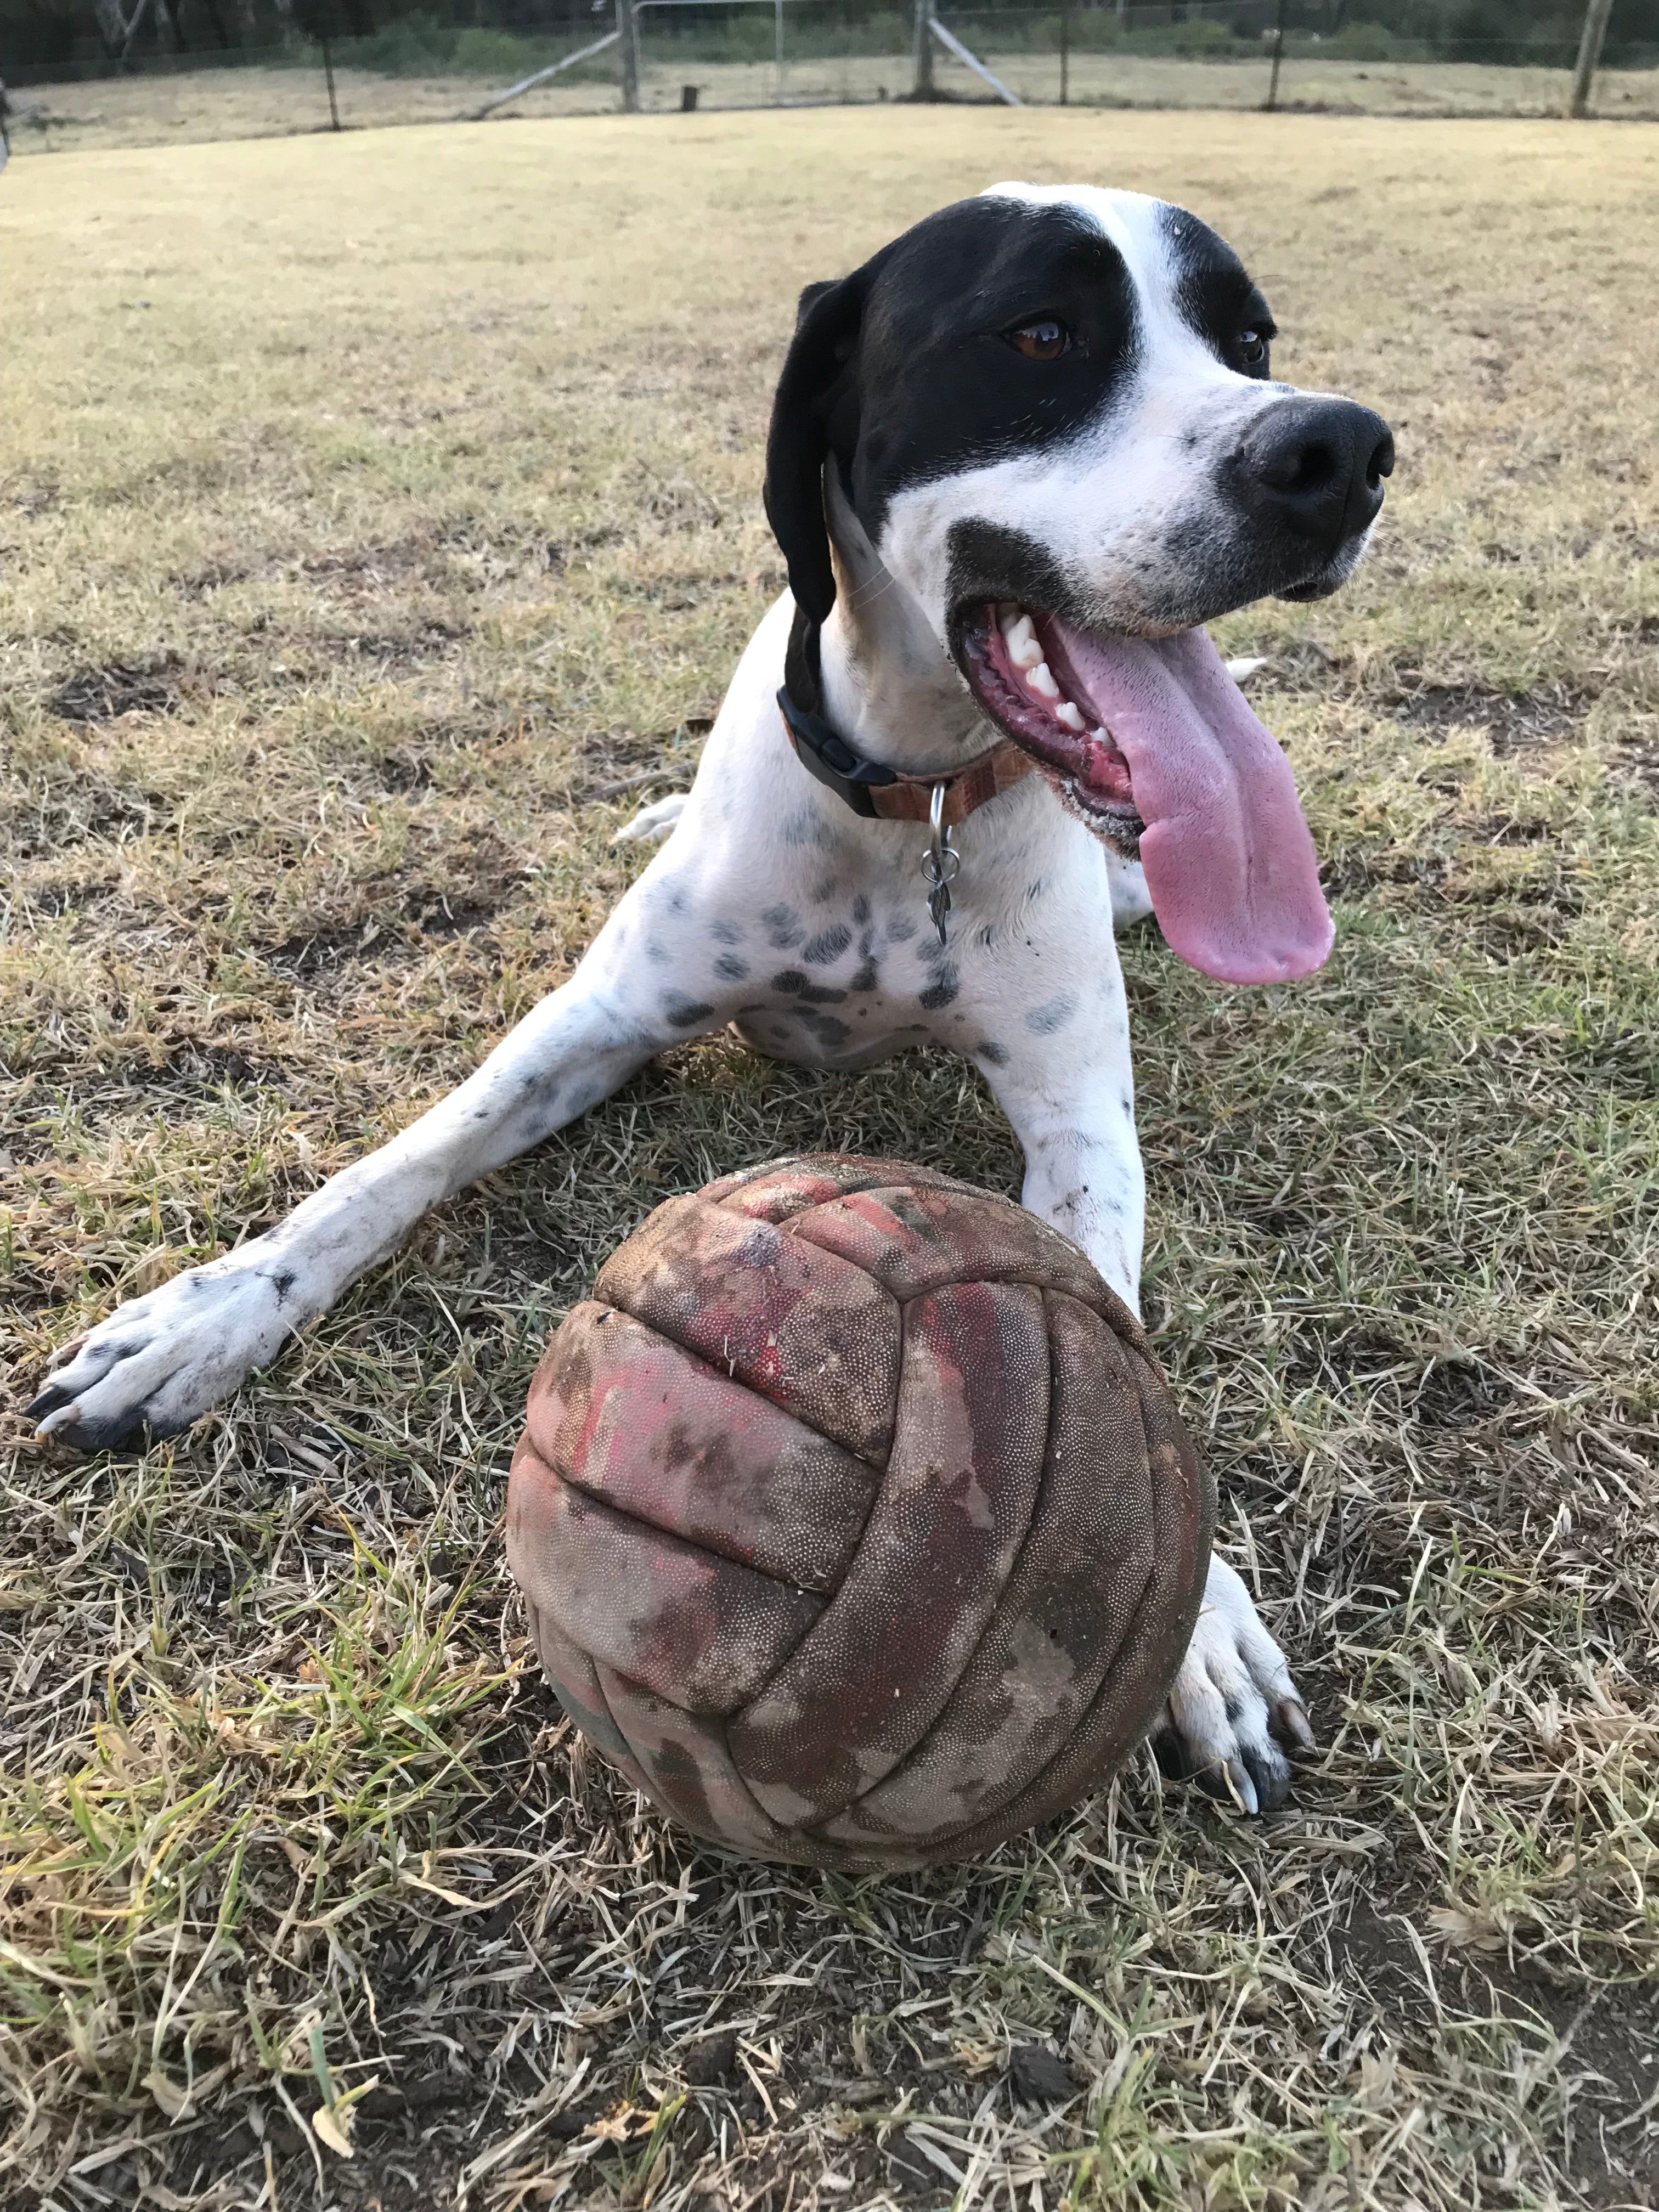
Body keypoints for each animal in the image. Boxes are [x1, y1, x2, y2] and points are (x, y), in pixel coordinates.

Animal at [32, 181, 1398, 1814]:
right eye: (1040, 335)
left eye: (1249, 342)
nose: (1338, 451)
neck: (913, 806)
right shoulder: (600, 1026)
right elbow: (393, 1165)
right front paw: (204, 1316)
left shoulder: (1080, 1121)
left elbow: (1107, 1312)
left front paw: (1198, 1624)